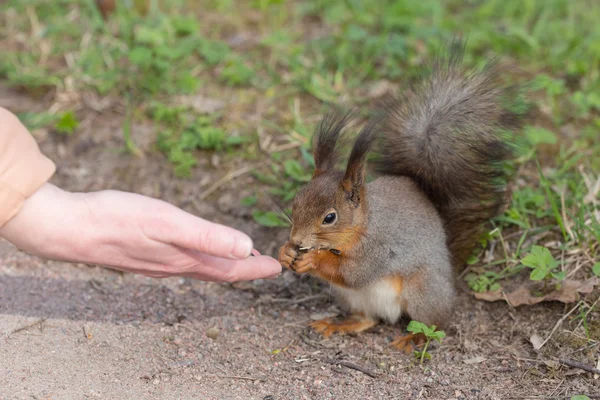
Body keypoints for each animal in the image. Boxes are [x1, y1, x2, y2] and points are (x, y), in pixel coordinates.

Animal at [278, 40, 524, 352]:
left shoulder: (378, 246)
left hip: (422, 289)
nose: (297, 241)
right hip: (352, 298)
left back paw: (415, 337)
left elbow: (354, 273)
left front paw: (312, 260)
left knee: (434, 323)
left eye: (330, 217)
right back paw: (340, 324)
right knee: (368, 319)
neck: (364, 223)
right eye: (295, 203)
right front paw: (285, 252)